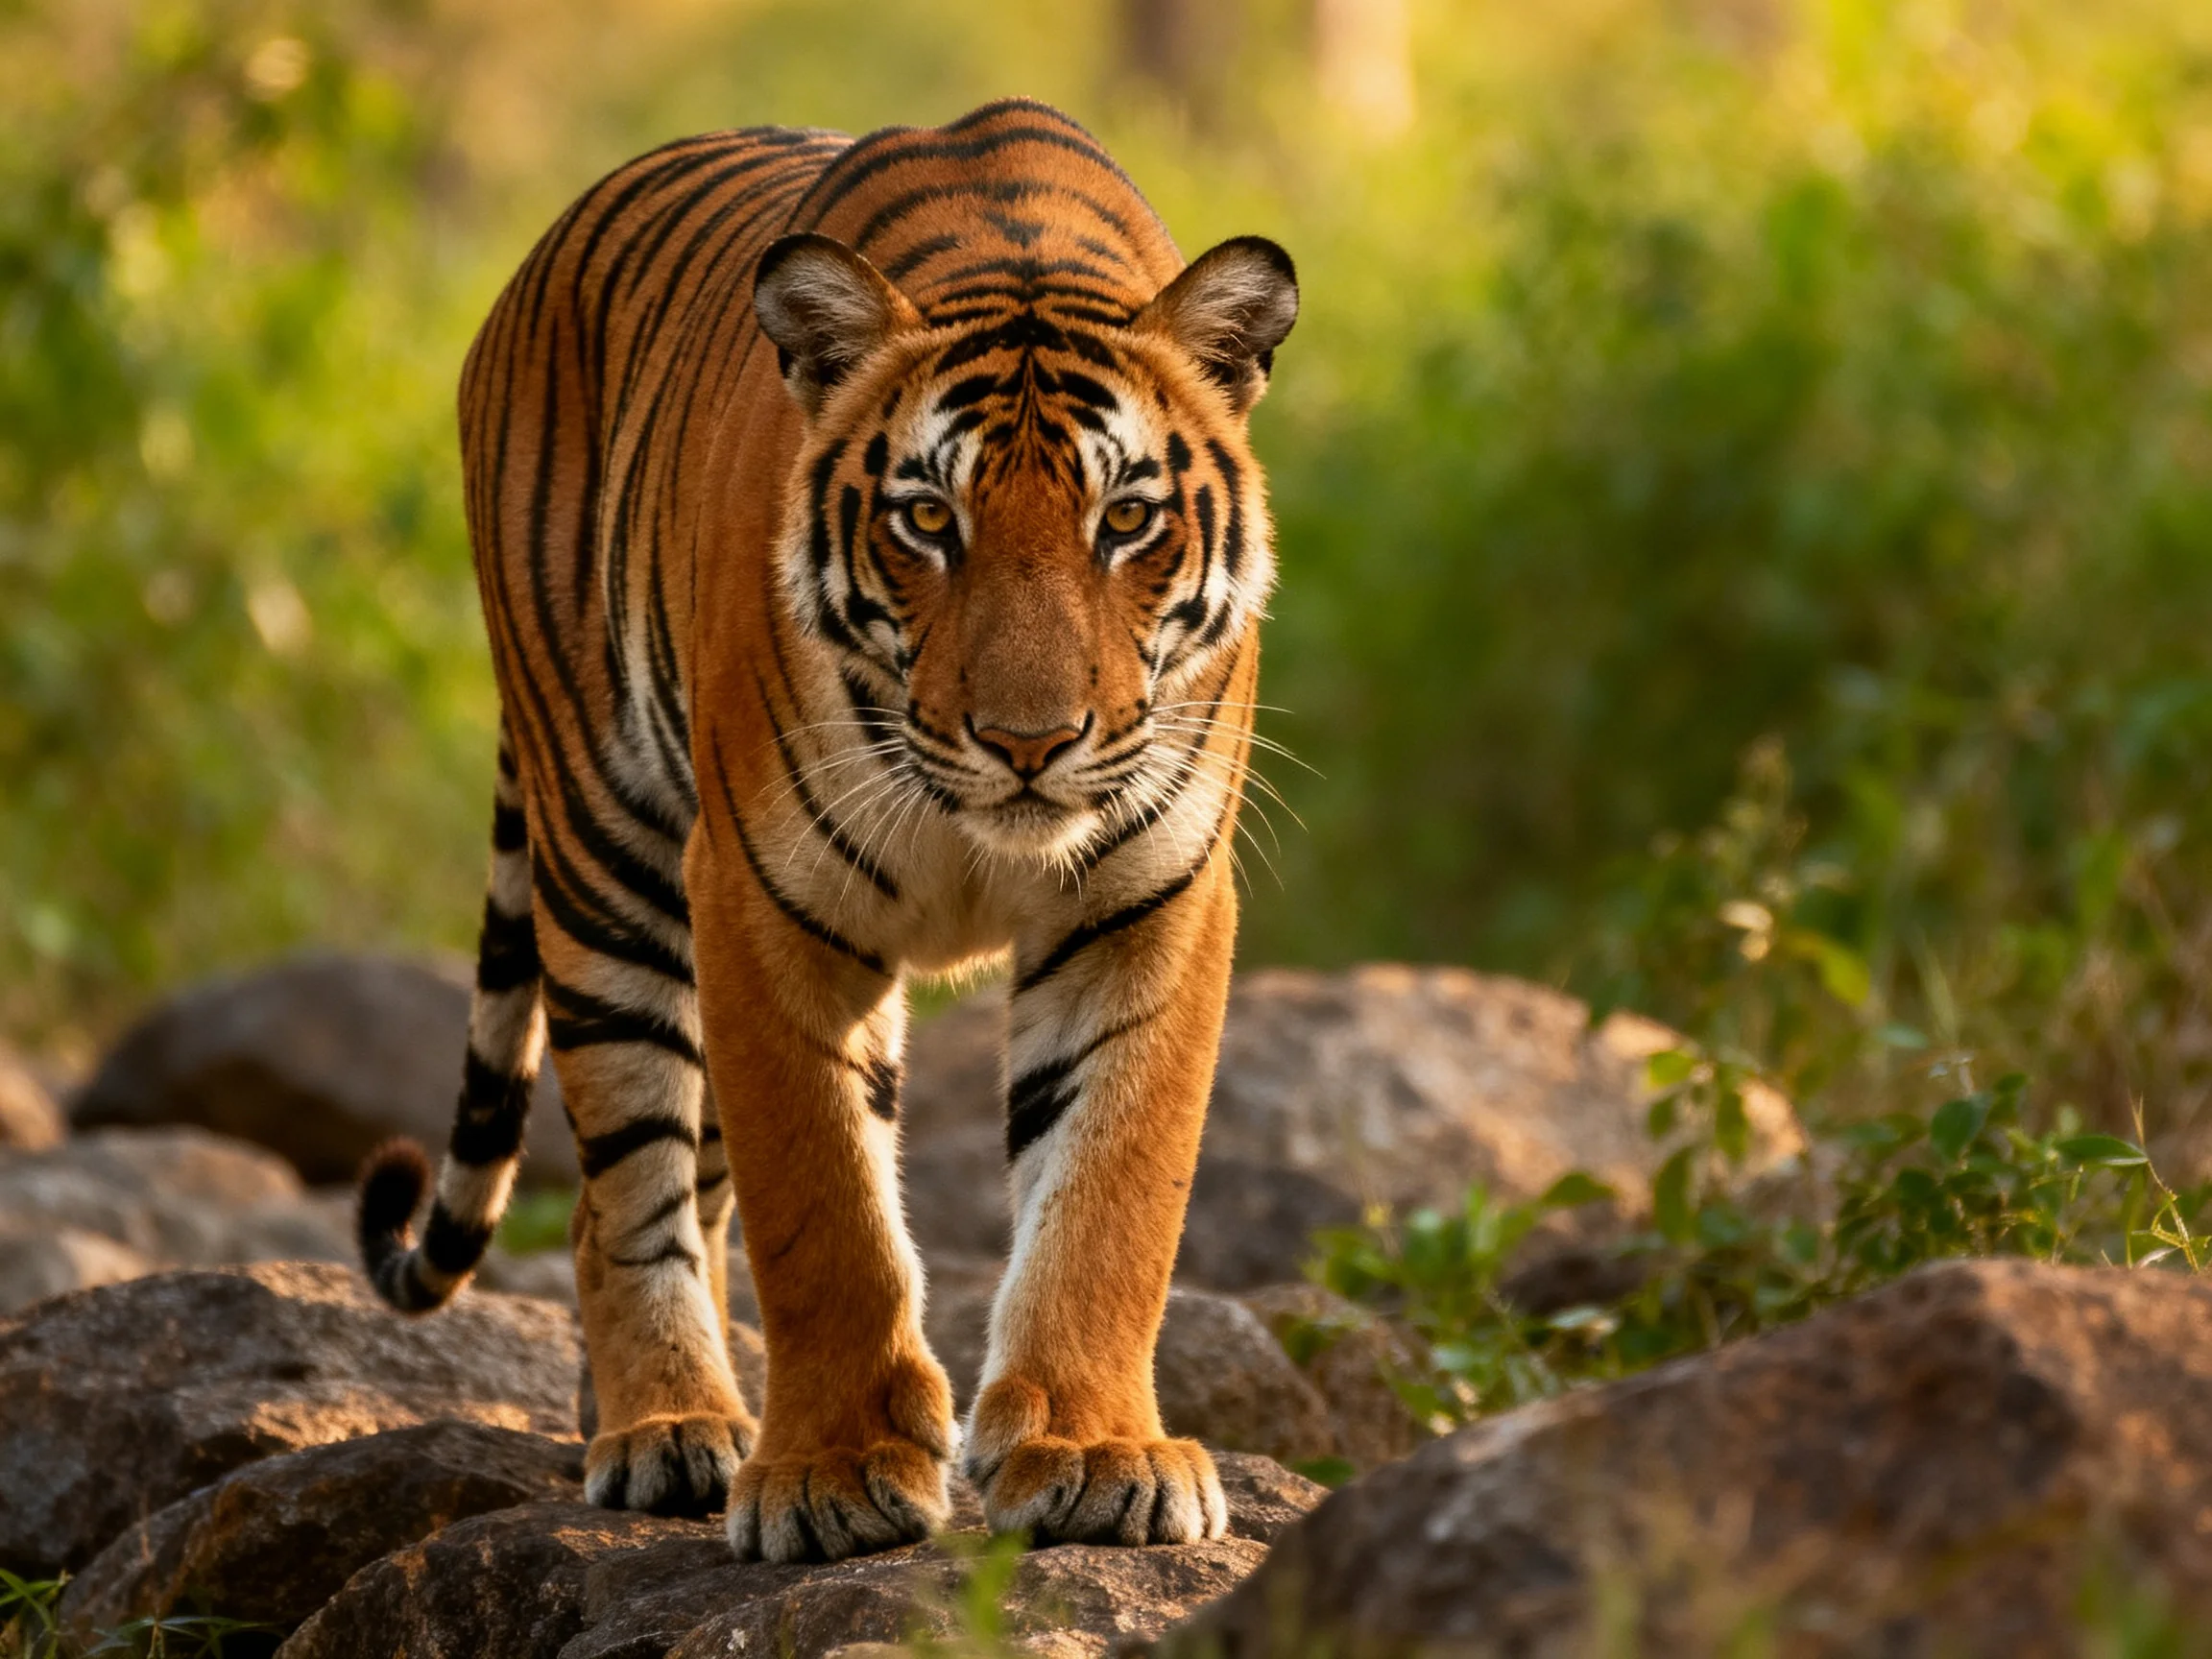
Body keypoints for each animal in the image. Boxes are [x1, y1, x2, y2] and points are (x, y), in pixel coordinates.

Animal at [357, 97, 1297, 1563]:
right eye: (928, 519)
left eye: (1127, 519)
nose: (1031, 742)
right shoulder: (759, 893)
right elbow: (826, 1210)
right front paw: (836, 1475)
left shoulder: (1150, 898)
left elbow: (1111, 1191)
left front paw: (1097, 1452)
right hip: (607, 857)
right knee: (626, 1188)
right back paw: (667, 1430)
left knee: (689, 1183)